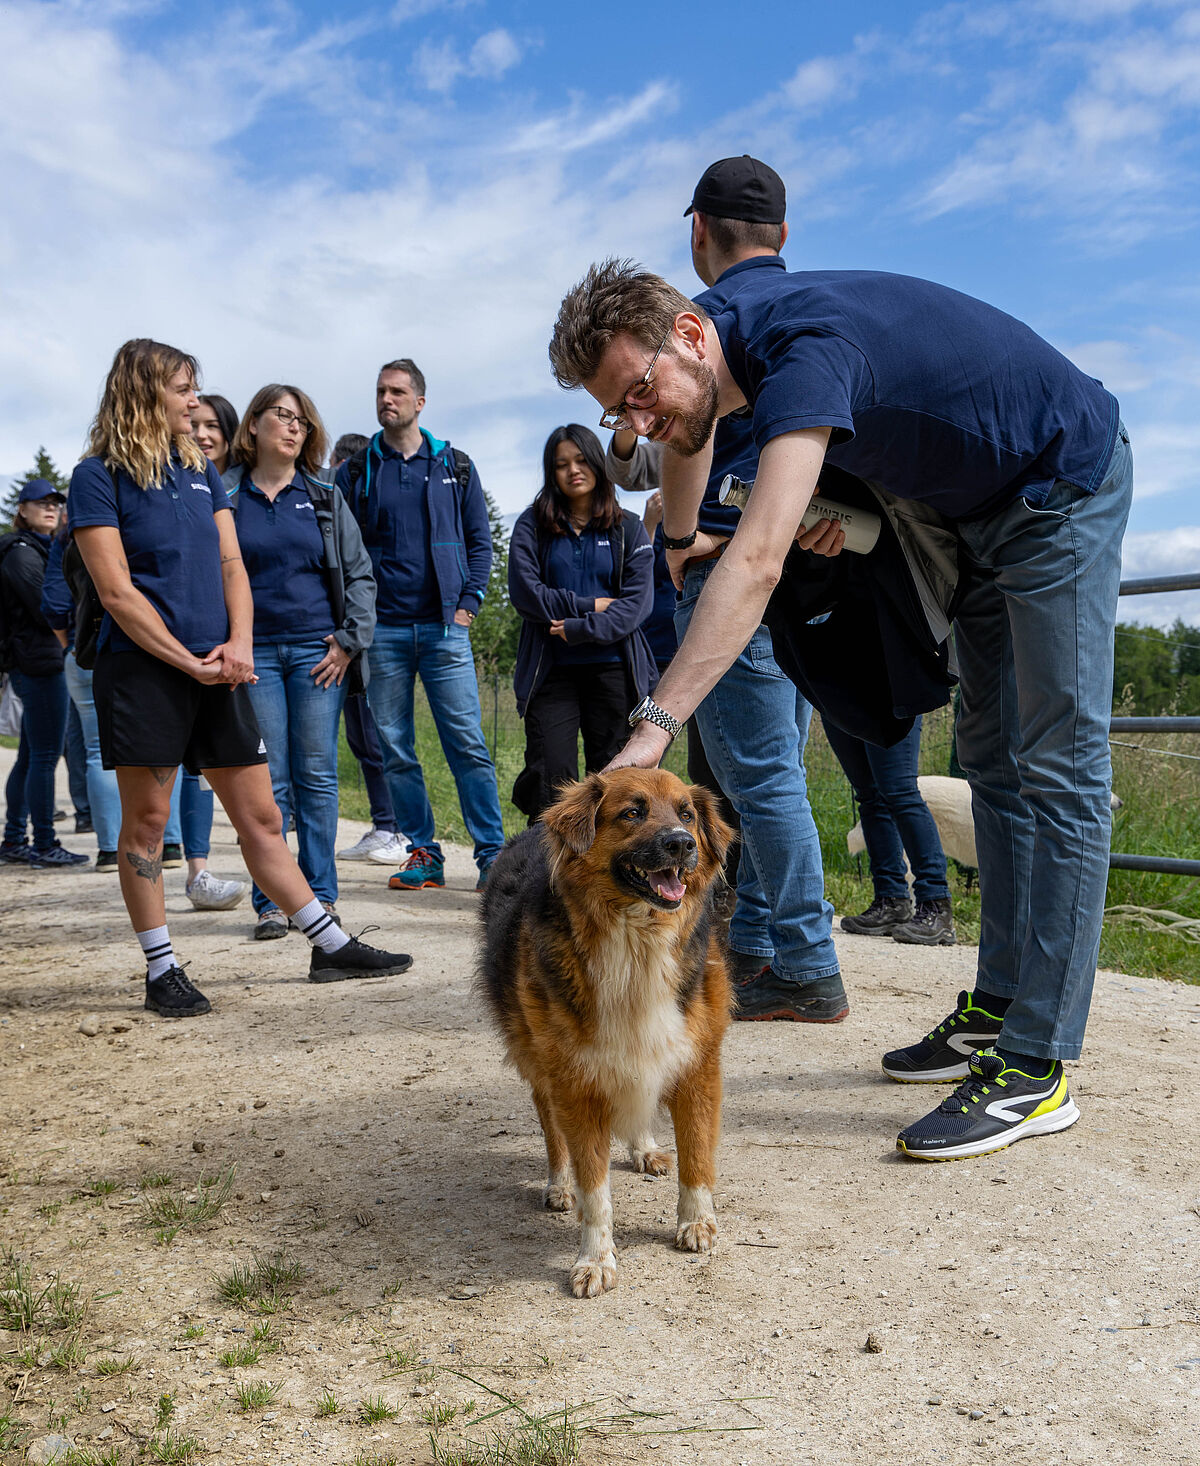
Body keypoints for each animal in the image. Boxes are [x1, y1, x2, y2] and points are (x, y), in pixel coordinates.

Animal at [477, 768, 732, 1295]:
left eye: (687, 815)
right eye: (632, 812)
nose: (681, 844)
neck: (638, 942)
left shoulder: (697, 1062)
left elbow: (698, 1155)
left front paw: (697, 1222)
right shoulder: (575, 1081)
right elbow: (594, 1186)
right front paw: (595, 1258)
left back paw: (645, 1149)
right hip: (538, 1059)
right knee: (553, 1132)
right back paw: (559, 1184)